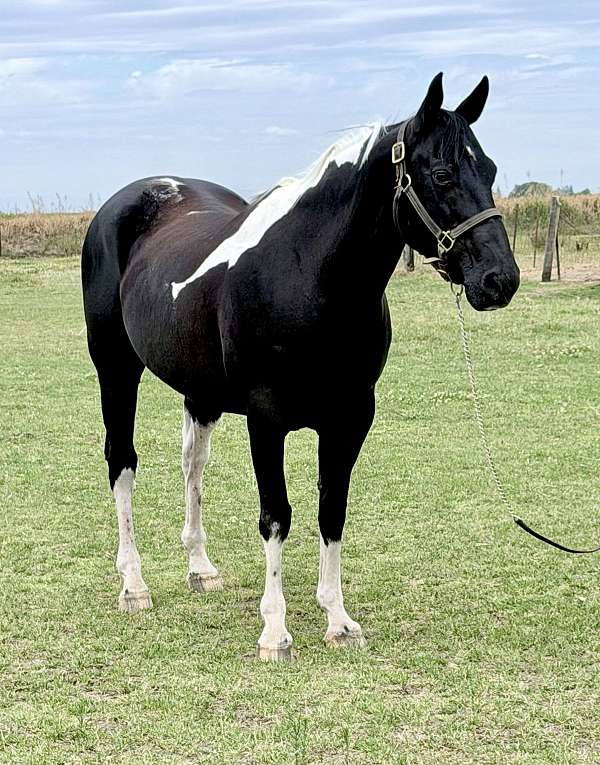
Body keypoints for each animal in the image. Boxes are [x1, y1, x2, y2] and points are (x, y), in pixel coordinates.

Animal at [82, 72, 519, 661]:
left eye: (490, 170)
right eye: (443, 173)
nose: (500, 280)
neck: (307, 275)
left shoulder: (350, 419)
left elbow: (331, 510)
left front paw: (338, 619)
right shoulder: (267, 420)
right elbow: (276, 516)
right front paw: (275, 631)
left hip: (200, 393)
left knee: (192, 464)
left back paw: (200, 568)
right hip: (115, 368)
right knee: (122, 462)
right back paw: (134, 585)